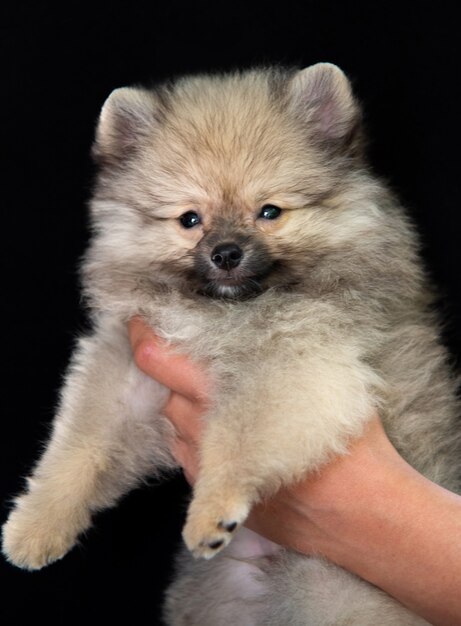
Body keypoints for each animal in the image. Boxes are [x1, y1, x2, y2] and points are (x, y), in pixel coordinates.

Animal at [1, 64, 458, 624]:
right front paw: (34, 527)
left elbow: (237, 441)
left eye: (270, 212)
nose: (225, 252)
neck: (221, 314)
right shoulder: (128, 374)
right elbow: (77, 448)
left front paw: (211, 512)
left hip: (336, 595)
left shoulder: (297, 366)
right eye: (189, 219)